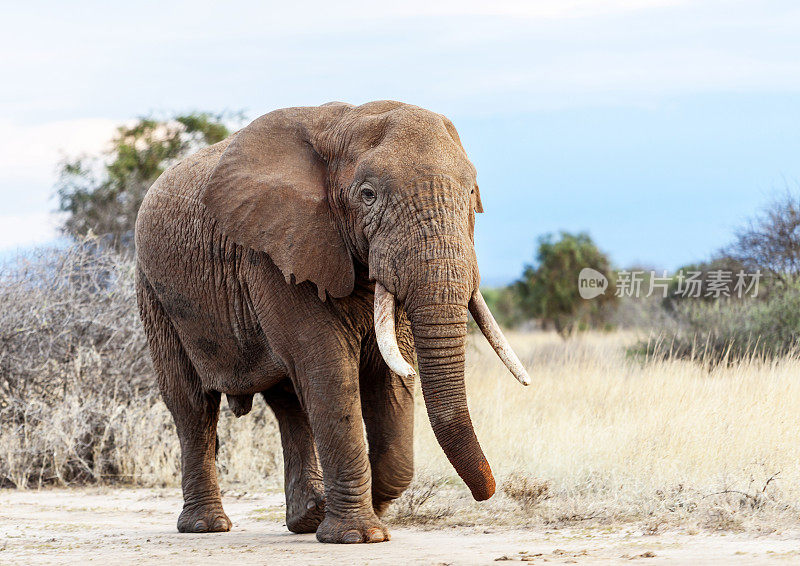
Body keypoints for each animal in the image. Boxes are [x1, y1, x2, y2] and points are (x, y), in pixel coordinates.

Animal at [134, 100, 528, 544]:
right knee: (192, 406)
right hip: (154, 292)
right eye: (368, 195)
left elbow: (388, 377)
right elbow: (330, 371)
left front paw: (363, 513)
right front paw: (360, 535)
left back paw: (307, 517)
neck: (347, 121)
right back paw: (207, 526)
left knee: (289, 402)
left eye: (471, 194)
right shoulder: (277, 252)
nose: (487, 492)